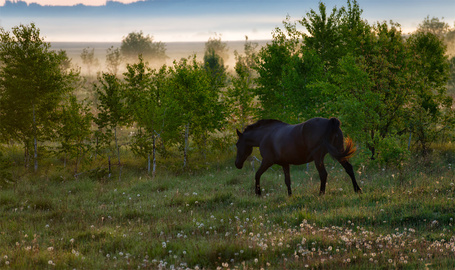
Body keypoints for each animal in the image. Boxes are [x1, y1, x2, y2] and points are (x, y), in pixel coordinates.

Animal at [235, 116, 364, 196]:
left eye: (237, 144)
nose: (237, 164)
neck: (265, 135)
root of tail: (329, 122)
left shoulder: (267, 161)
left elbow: (257, 174)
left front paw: (258, 193)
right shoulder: (285, 163)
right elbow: (287, 180)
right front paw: (290, 195)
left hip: (318, 158)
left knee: (323, 174)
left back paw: (321, 193)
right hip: (339, 153)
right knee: (349, 169)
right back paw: (357, 190)